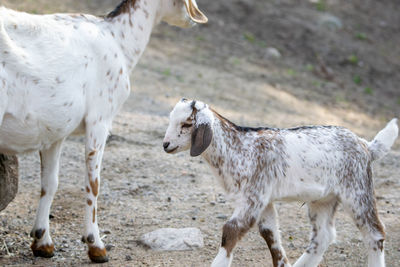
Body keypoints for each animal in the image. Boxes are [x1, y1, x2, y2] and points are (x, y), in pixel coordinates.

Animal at [0, 0, 206, 264]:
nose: (195, 19)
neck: (118, 38)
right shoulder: (100, 119)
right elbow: (94, 183)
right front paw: (96, 246)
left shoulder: (55, 131)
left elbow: (50, 183)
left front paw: (42, 242)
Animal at [164, 99, 398, 267]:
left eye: (187, 124)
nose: (166, 144)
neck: (238, 148)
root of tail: (366, 145)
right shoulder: (264, 199)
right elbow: (270, 234)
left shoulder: (254, 195)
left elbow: (231, 229)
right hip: (323, 199)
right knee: (322, 236)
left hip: (357, 190)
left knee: (375, 233)